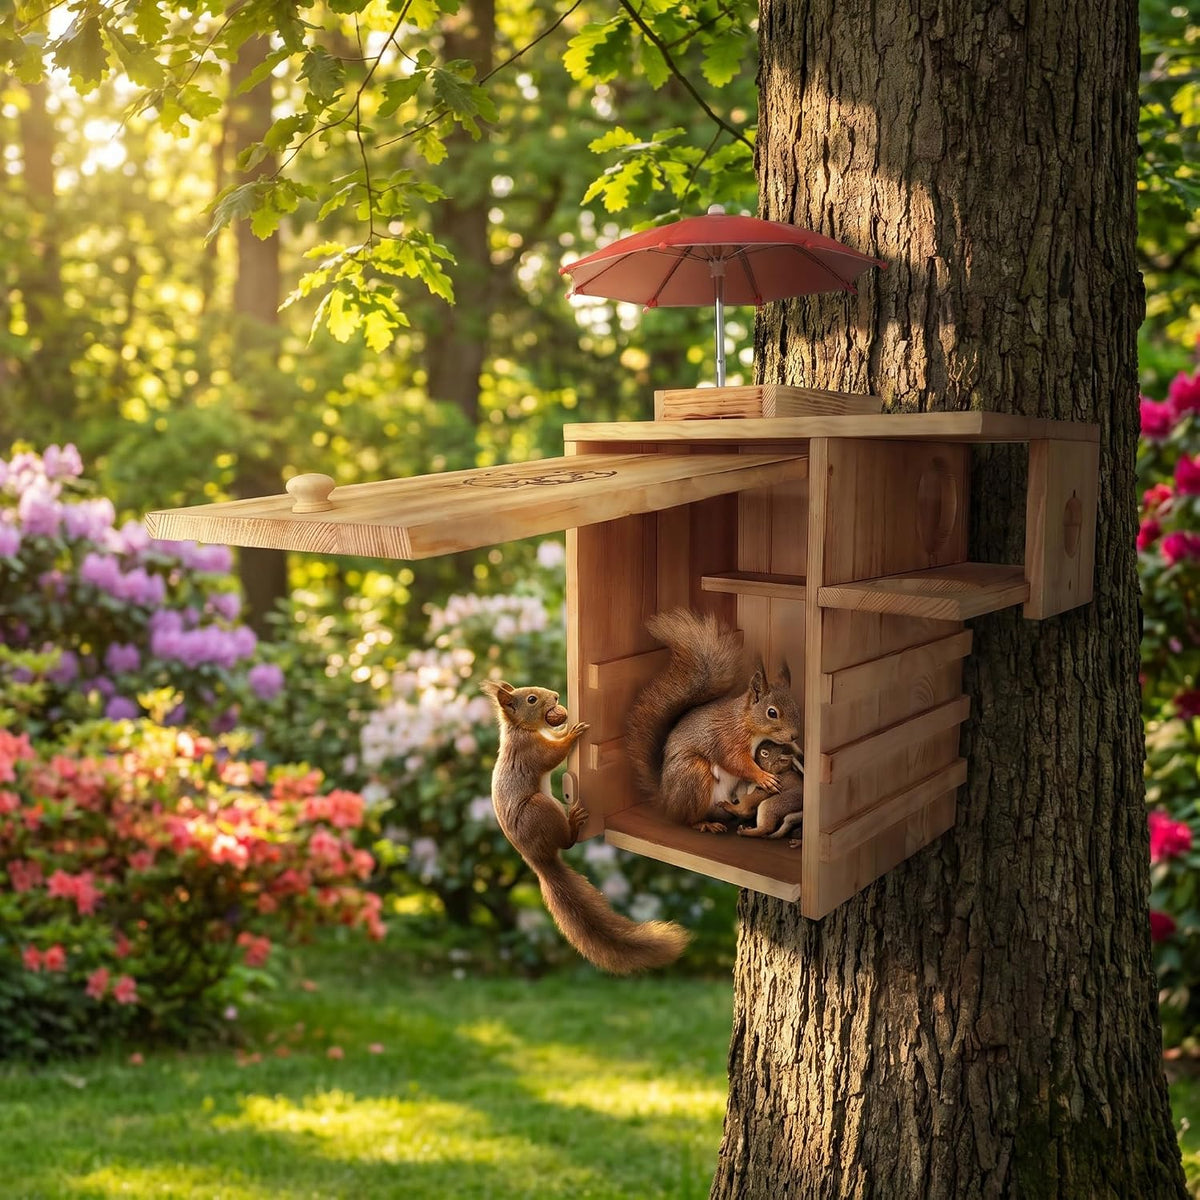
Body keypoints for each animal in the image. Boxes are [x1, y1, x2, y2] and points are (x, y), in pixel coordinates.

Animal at [481, 679, 689, 974]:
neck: (521, 729)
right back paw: (574, 822)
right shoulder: (530, 751)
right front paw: (572, 733)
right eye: (532, 699)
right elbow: (552, 756)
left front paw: (565, 727)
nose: (557, 696)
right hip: (539, 809)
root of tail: (539, 859)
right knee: (566, 842)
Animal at [626, 608, 803, 833]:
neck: (746, 723)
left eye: (796, 706)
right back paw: (705, 824)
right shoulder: (728, 738)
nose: (795, 736)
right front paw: (764, 777)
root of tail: (666, 802)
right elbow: (735, 761)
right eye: (772, 713)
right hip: (694, 773)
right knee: (687, 819)